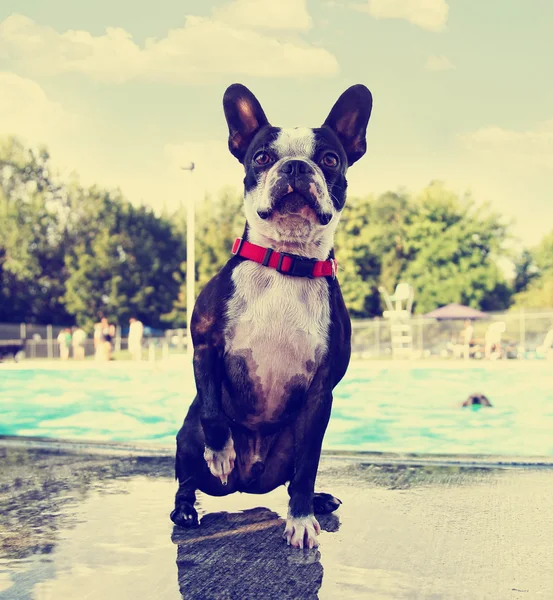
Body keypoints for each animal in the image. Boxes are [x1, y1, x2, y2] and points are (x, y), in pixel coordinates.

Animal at [170, 84, 374, 548]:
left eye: (329, 160)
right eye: (262, 157)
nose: (296, 165)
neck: (286, 261)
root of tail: (247, 484)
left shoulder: (320, 394)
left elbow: (307, 468)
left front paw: (300, 520)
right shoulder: (204, 344)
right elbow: (213, 411)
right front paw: (221, 450)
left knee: (295, 475)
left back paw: (317, 500)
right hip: (186, 438)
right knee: (186, 478)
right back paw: (187, 509)